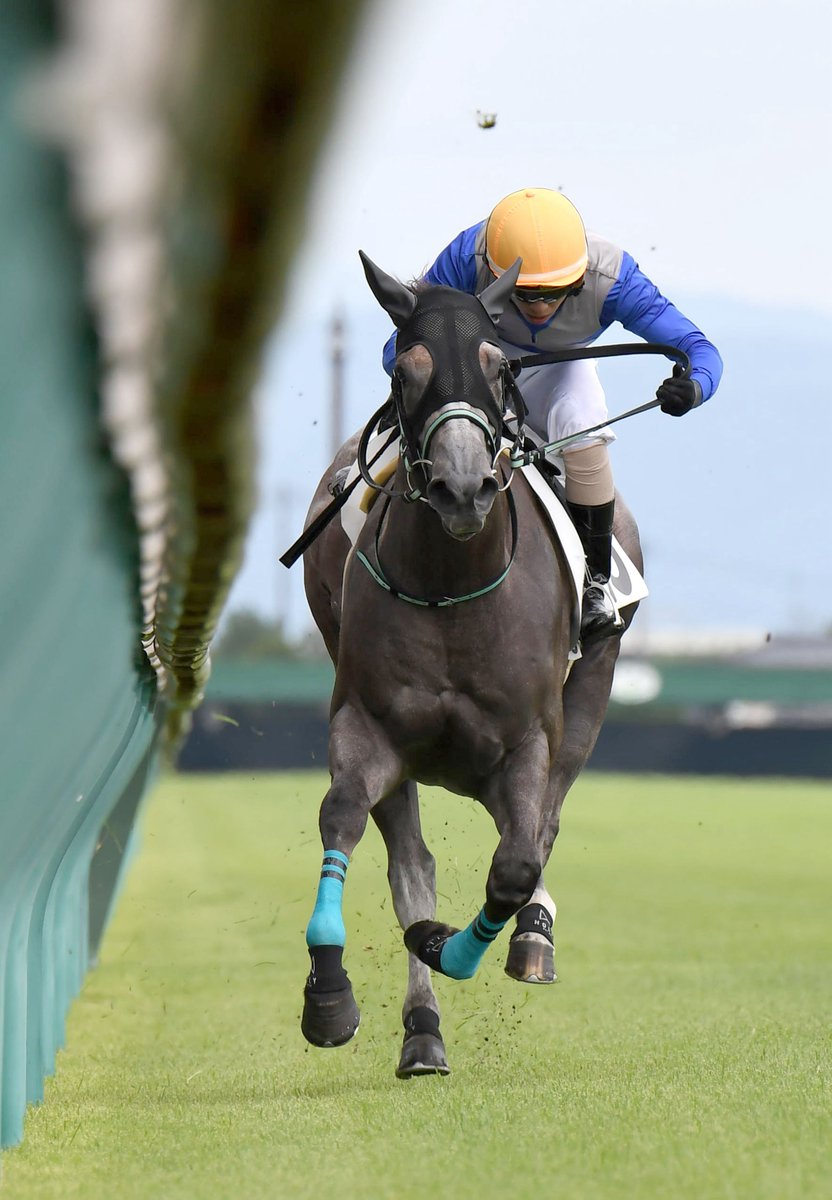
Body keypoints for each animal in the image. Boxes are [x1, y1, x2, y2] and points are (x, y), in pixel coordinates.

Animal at [298, 253, 643, 1077]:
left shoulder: (529, 740)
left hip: (589, 694)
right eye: (406, 368)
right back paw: (423, 1030)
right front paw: (331, 994)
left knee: (538, 833)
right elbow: (346, 820)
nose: (462, 486)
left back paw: (531, 938)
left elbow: (515, 865)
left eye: (496, 365)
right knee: (413, 861)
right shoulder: (368, 725)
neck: (453, 585)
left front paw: (458, 943)